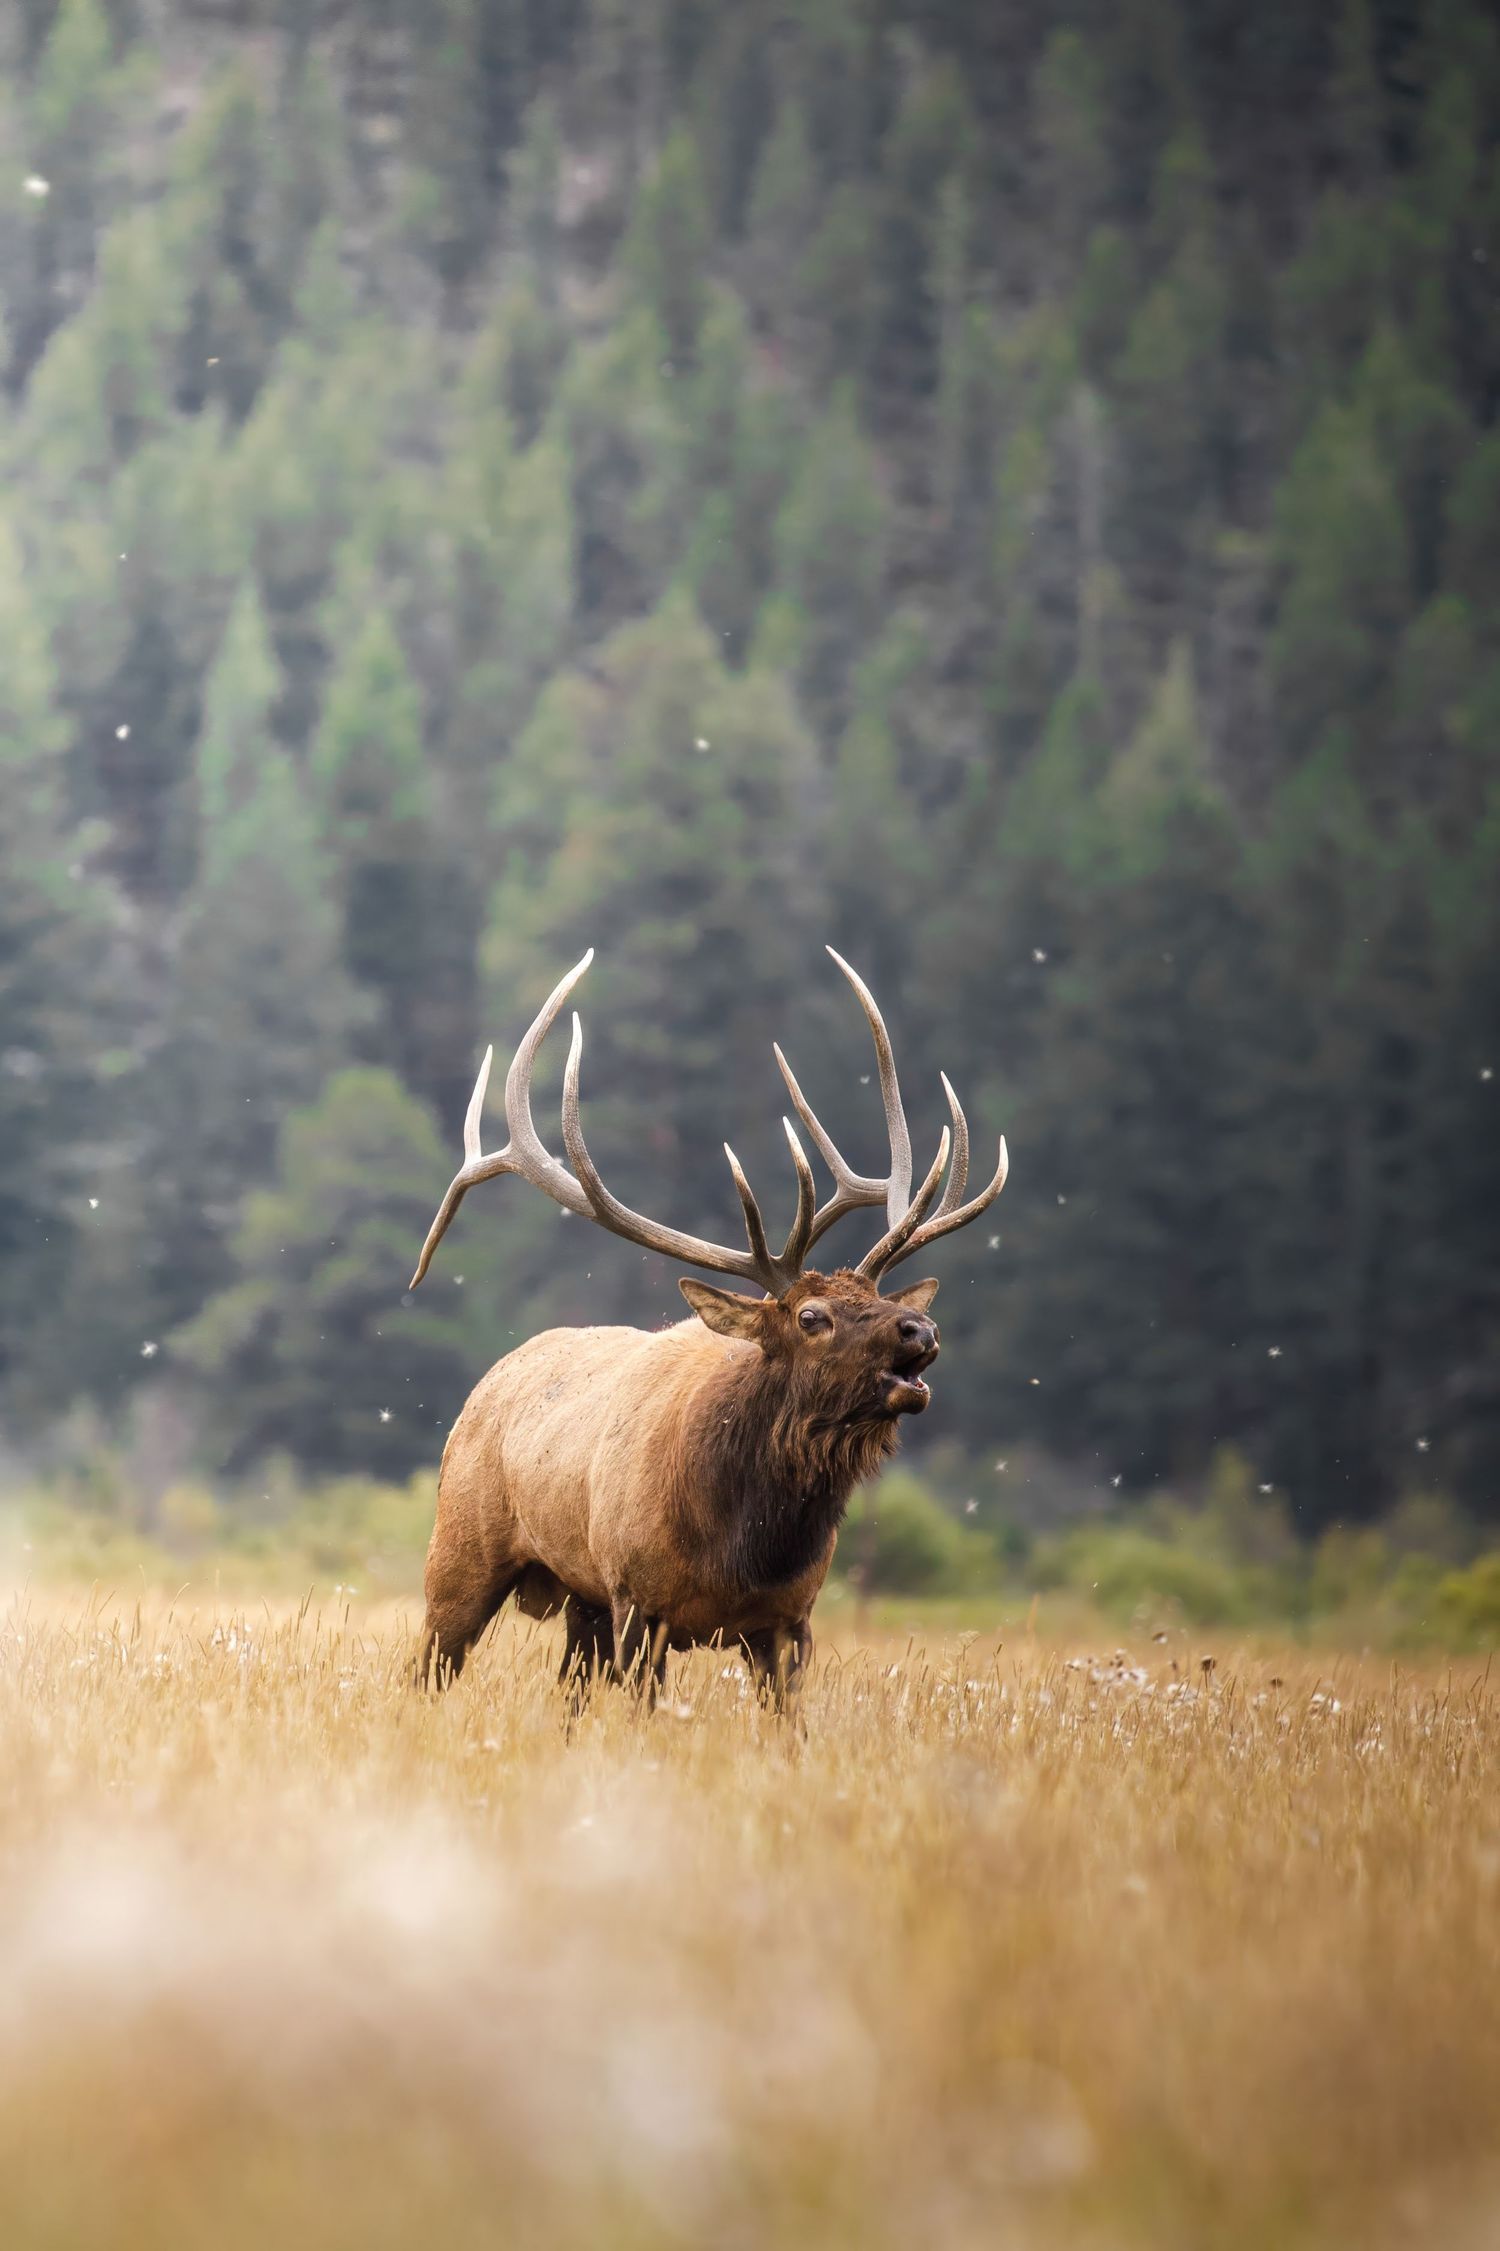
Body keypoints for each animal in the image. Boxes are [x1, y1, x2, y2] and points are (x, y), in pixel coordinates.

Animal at [407, 948, 1008, 1714]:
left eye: (876, 1296)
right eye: (810, 1316)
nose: (920, 1329)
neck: (744, 1545)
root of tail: (487, 1383)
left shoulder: (789, 1619)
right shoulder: (638, 1599)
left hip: (580, 1602)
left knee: (567, 1690)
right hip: (461, 1552)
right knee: (427, 1664)